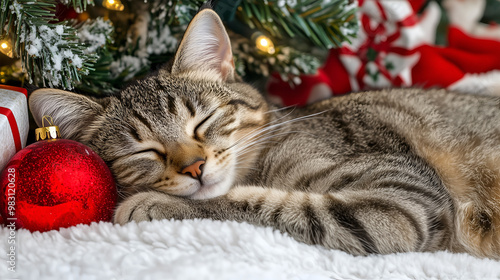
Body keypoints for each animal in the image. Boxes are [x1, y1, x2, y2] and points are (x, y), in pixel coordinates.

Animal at [28, 7, 500, 260]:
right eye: (143, 151)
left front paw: (153, 204)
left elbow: (255, 206)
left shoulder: (402, 201)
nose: (195, 167)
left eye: (202, 121)